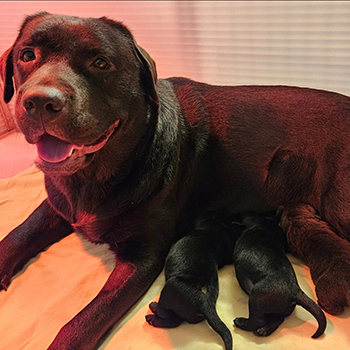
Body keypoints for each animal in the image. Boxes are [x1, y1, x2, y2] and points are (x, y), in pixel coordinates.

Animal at [146, 216, 242, 350]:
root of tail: (205, 304)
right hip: (184, 310)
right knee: (174, 321)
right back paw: (153, 320)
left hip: (170, 287)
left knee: (165, 312)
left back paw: (154, 308)